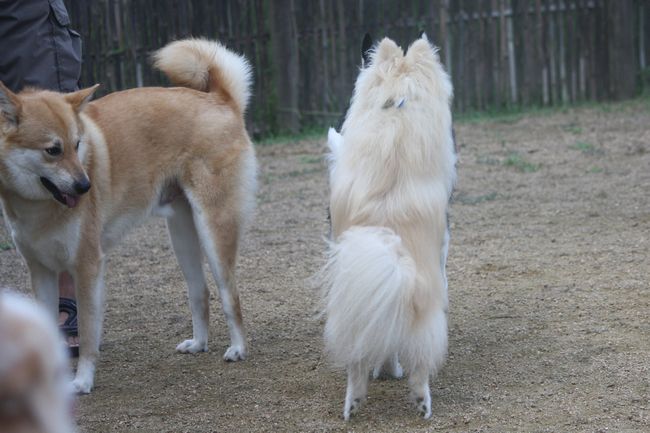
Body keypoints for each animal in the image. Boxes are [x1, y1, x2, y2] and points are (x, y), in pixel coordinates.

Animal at [0, 38, 257, 394]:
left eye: (77, 144)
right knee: (200, 292)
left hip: (213, 230)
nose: (86, 186)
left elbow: (89, 334)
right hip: (182, 234)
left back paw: (239, 348)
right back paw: (198, 343)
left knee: (230, 294)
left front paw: (82, 381)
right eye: (53, 150)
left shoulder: (87, 267)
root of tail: (219, 98)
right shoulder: (41, 271)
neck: (38, 206)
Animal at [320, 34, 456, 420]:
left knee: (356, 356)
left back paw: (354, 402)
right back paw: (421, 400)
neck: (397, 101)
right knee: (419, 359)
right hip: (422, 304)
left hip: (354, 298)